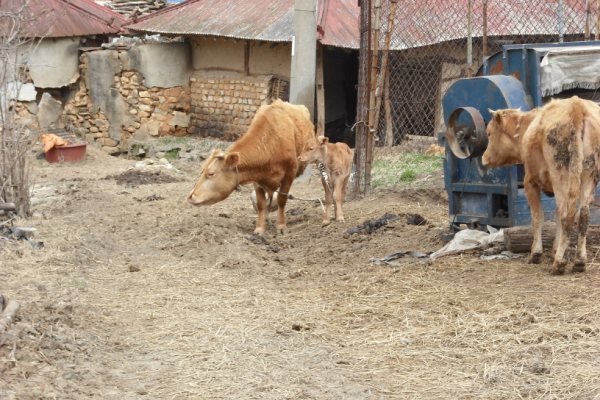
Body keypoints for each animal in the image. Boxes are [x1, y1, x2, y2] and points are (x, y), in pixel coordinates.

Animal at [480, 96, 600, 276]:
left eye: (489, 133)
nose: (484, 158)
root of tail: (577, 108)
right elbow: (556, 217)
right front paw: (556, 249)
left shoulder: (530, 182)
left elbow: (538, 217)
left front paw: (536, 253)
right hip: (588, 176)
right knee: (582, 215)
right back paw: (579, 261)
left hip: (561, 176)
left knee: (567, 214)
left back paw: (559, 263)